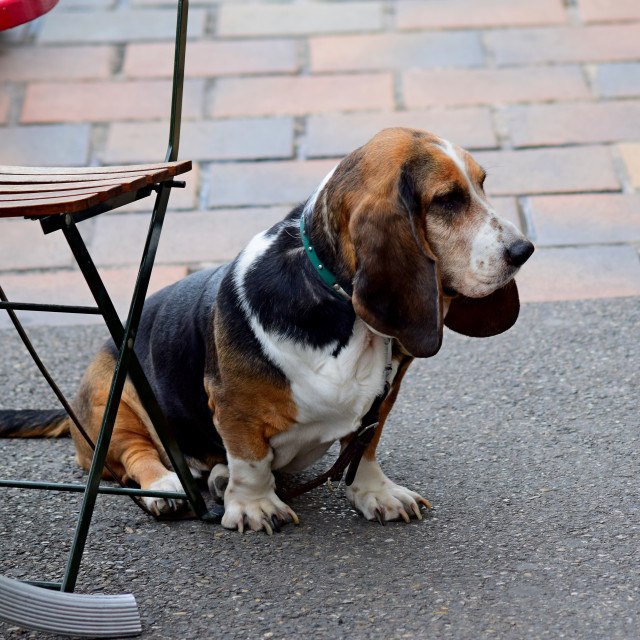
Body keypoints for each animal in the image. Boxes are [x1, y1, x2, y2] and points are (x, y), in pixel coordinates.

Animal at [1, 127, 536, 532]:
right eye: (447, 200)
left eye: (482, 184)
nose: (524, 251)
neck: (337, 305)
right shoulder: (233, 407)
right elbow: (250, 458)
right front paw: (255, 506)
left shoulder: (383, 400)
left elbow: (364, 447)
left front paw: (376, 493)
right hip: (114, 393)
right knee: (136, 455)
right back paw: (166, 488)